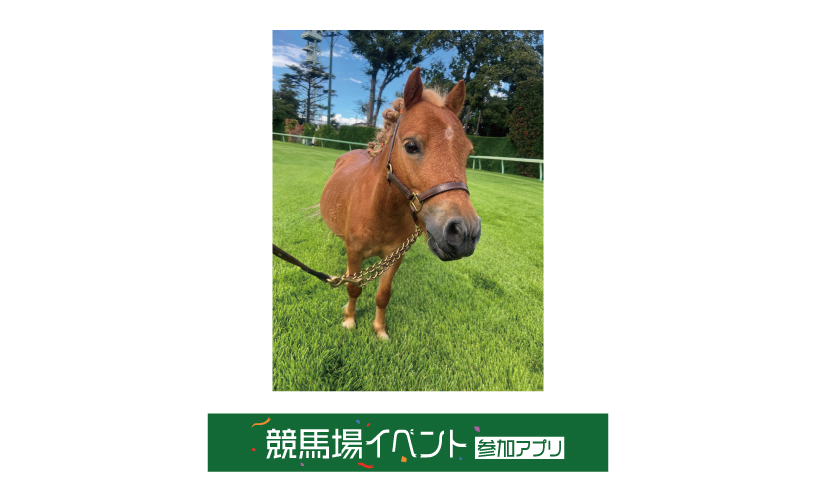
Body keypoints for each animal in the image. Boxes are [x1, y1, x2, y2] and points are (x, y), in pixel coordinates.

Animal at [320, 67, 481, 340]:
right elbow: (353, 288)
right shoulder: (354, 252)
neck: (380, 211)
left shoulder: (395, 257)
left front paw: (379, 330)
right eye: (411, 146)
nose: (464, 232)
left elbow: (383, 295)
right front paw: (350, 319)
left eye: (468, 152)